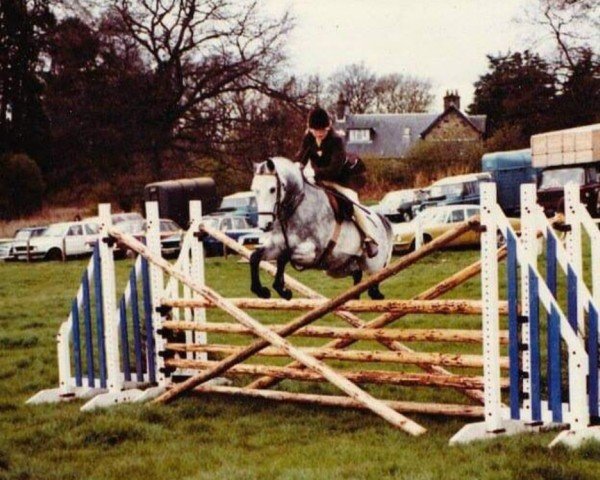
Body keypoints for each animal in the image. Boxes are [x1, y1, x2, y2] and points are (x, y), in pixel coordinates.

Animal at [248, 158, 394, 300]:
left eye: (272, 189)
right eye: (254, 190)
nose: (265, 225)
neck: (295, 210)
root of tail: (381, 220)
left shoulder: (312, 252)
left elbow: (284, 256)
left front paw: (282, 290)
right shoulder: (277, 245)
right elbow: (256, 257)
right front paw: (262, 291)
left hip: (373, 267)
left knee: (373, 288)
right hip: (341, 267)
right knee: (357, 278)